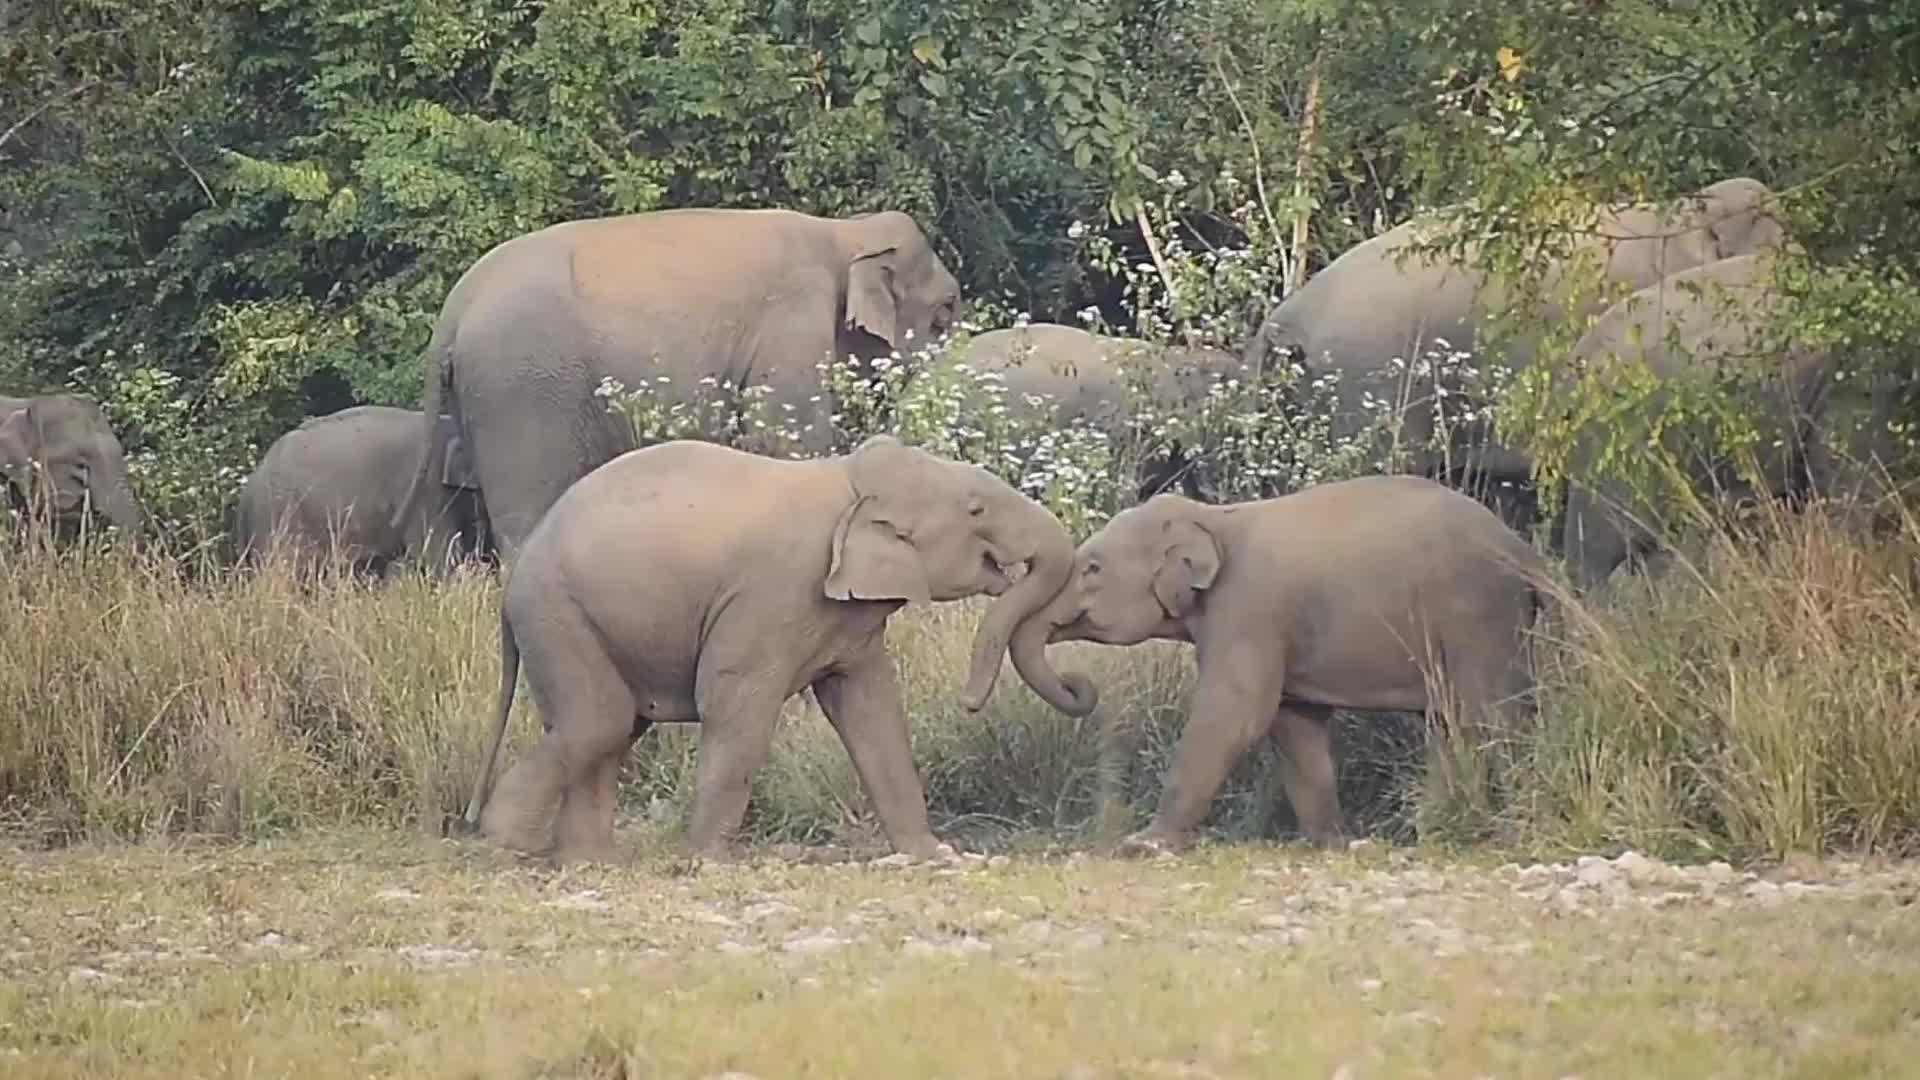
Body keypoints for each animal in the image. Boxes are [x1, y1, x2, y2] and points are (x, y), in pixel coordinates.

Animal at [390, 207, 963, 564]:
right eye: (944, 312)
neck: (847, 232)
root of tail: (454, 310)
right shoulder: (792, 327)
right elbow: (788, 439)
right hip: (521, 394)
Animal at [459, 434, 1095, 864]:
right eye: (976, 510)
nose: (969, 702)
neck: (847, 481)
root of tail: (513, 581)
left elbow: (871, 711)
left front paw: (931, 856)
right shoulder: (770, 595)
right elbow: (735, 705)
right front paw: (709, 862)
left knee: (611, 729)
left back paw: (592, 862)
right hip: (558, 613)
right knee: (600, 722)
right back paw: (507, 839)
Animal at [1025, 475, 1548, 855]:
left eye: (1092, 568)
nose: (1079, 684)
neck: (1211, 518)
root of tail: (1523, 550)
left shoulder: (1248, 610)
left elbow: (1234, 716)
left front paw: (1145, 845)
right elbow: (1295, 724)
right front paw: (1332, 842)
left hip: (1480, 614)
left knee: (1493, 713)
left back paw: (1511, 830)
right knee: (1449, 721)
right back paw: (1432, 830)